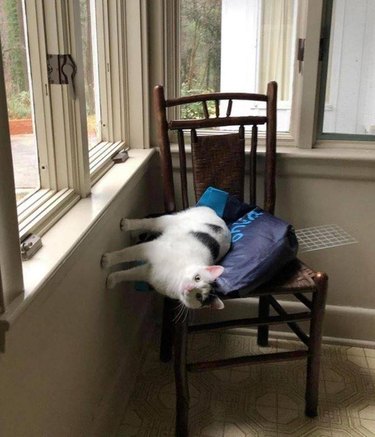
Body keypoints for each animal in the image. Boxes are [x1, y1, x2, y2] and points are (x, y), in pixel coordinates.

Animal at [101, 206, 234, 308]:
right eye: (197, 278)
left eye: (199, 296)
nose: (189, 288)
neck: (174, 278)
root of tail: (218, 216)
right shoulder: (151, 249)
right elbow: (126, 253)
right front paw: (108, 260)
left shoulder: (147, 273)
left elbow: (128, 274)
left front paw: (112, 280)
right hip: (168, 221)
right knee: (149, 222)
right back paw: (128, 225)